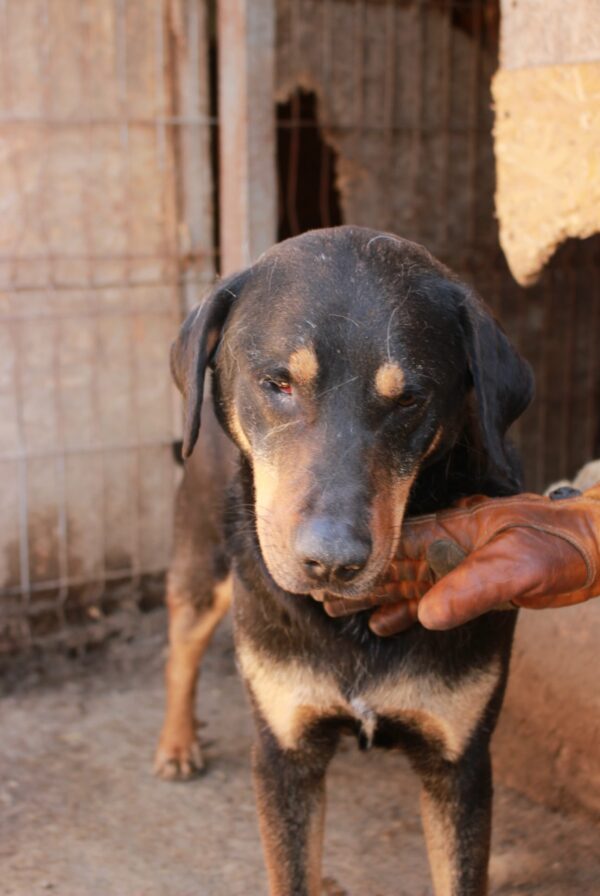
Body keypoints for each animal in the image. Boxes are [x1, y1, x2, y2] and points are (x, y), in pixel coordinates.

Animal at [155, 228, 536, 896]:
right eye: (278, 383)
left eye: (409, 399)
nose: (332, 561)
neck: (352, 618)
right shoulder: (283, 757)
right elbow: (291, 871)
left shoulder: (460, 765)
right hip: (204, 563)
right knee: (182, 645)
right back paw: (176, 744)